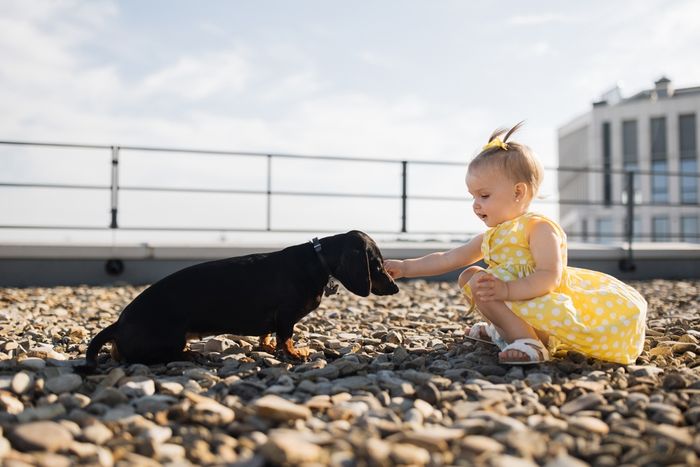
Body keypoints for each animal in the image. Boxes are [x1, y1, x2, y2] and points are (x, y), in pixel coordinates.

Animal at [77, 230, 400, 372]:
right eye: (377, 265)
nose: (396, 288)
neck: (317, 261)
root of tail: (118, 324)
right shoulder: (285, 315)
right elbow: (286, 337)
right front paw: (295, 354)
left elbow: (269, 335)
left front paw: (267, 346)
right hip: (169, 336)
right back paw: (192, 355)